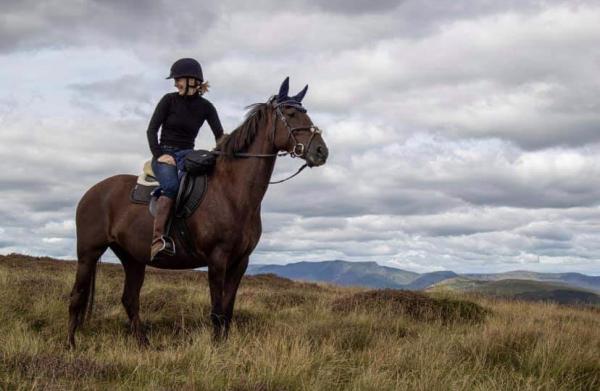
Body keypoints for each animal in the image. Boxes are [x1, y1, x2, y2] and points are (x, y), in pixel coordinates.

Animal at [69, 78, 328, 348]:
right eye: (290, 113)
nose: (321, 151)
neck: (231, 191)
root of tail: (91, 192)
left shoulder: (240, 261)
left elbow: (228, 309)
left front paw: (224, 345)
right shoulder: (217, 258)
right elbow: (216, 310)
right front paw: (217, 347)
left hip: (133, 259)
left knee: (130, 299)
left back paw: (144, 344)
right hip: (88, 253)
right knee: (77, 296)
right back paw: (71, 344)